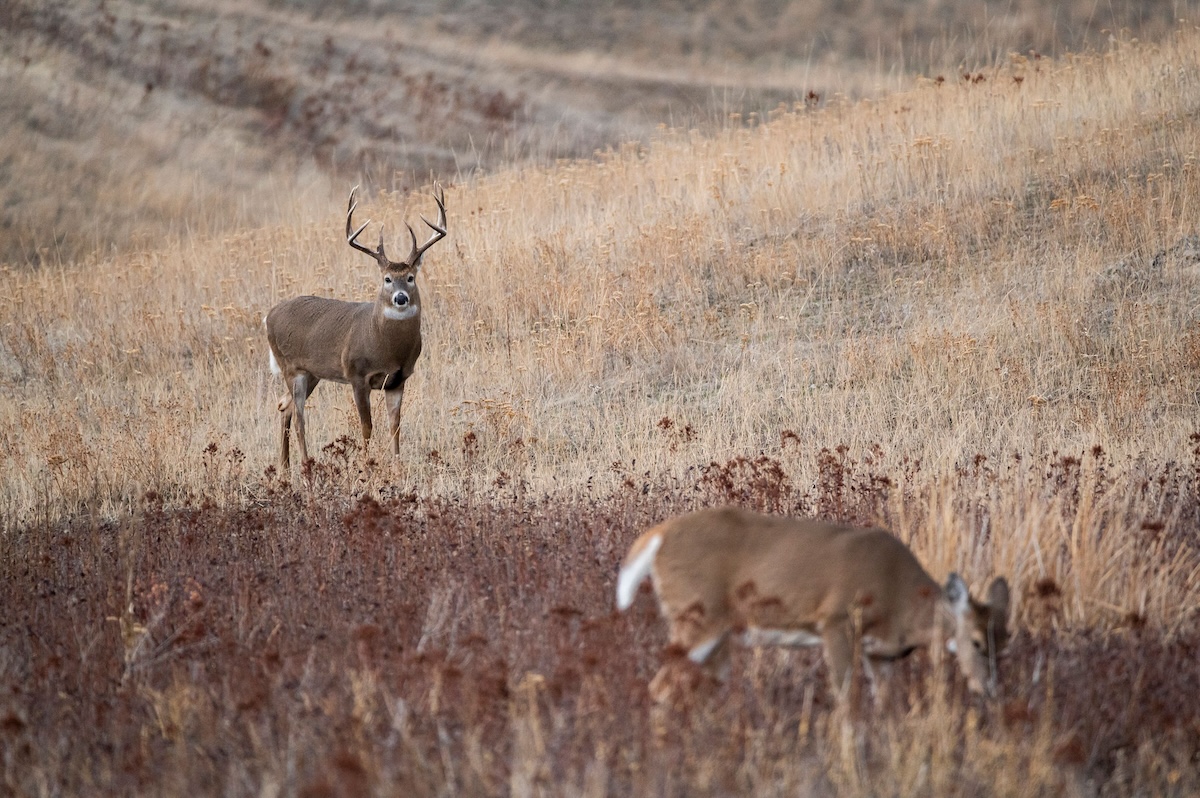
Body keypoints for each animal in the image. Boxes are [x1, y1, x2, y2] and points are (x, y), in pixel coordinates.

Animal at [265, 185, 447, 470]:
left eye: (410, 277)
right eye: (387, 279)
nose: (401, 298)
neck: (385, 346)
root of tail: (269, 315)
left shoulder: (398, 379)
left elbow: (395, 426)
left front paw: (397, 467)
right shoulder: (357, 375)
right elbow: (367, 427)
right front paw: (367, 464)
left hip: (311, 372)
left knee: (284, 406)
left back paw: (285, 467)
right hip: (291, 368)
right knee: (299, 418)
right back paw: (306, 466)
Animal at [617, 506, 1010, 702]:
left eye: (1007, 641)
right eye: (976, 641)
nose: (992, 690)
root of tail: (657, 536)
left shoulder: (880, 654)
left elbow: (884, 707)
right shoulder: (836, 621)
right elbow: (847, 703)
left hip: (718, 636)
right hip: (697, 617)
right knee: (659, 689)